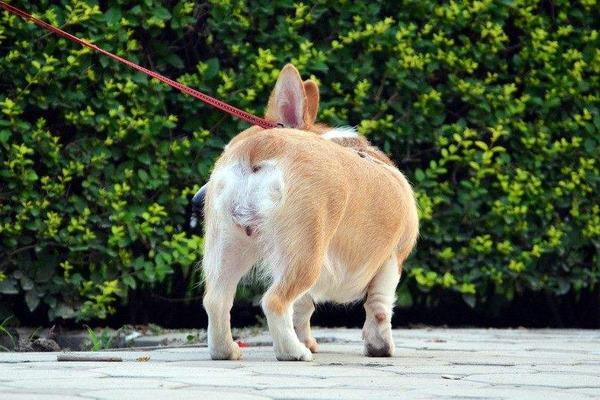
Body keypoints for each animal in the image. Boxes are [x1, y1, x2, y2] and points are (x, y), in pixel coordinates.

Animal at [199, 65, 420, 360]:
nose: (197, 198)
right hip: (305, 254)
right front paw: (380, 347)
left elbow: (303, 309)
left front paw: (308, 338)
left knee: (217, 300)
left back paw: (227, 350)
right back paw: (294, 351)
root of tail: (262, 145)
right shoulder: (392, 260)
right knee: (275, 301)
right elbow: (380, 306)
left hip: (229, 246)